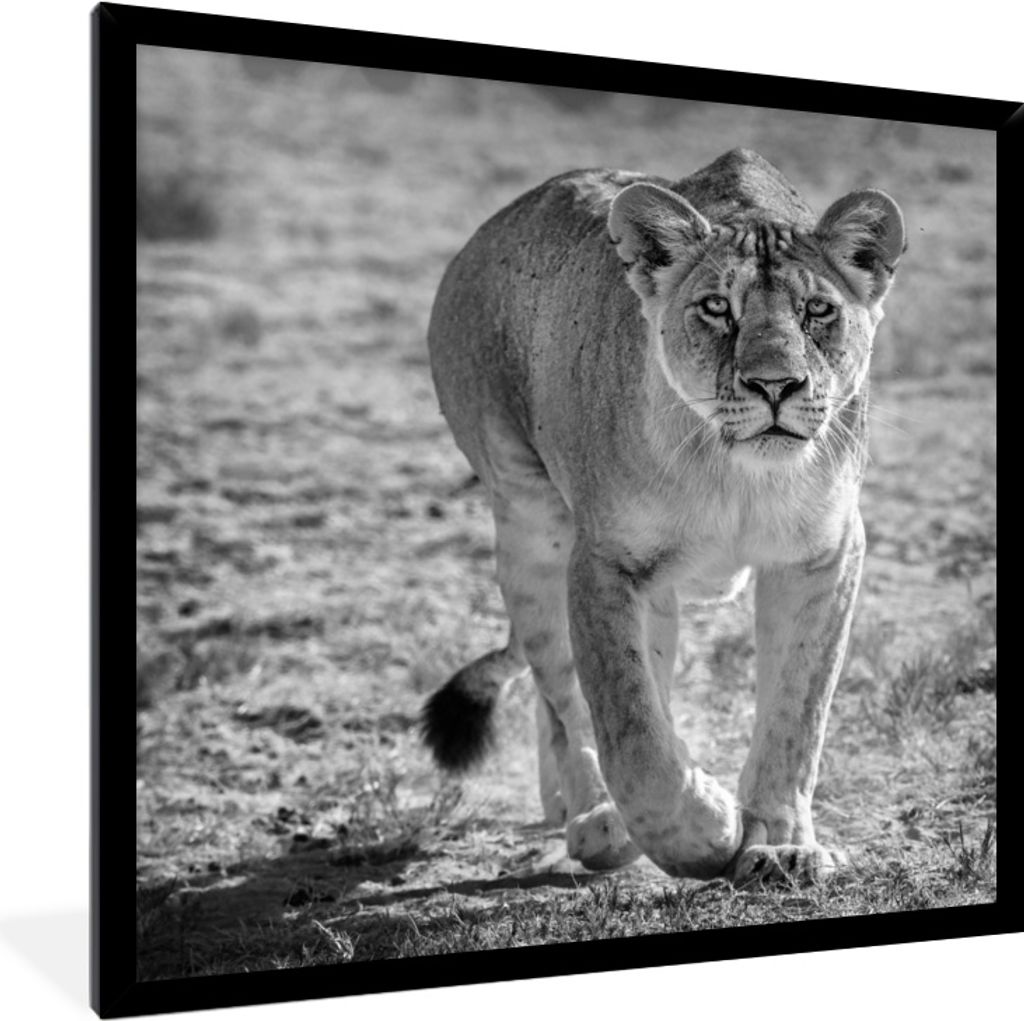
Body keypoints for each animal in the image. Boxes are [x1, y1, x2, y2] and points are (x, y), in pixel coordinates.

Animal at [421, 148, 904, 883]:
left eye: (818, 309)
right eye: (717, 308)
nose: (775, 385)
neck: (737, 473)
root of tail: (490, 228)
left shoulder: (822, 555)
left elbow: (797, 712)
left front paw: (781, 846)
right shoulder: (606, 562)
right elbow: (630, 730)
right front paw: (706, 828)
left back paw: (565, 803)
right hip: (531, 526)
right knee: (565, 697)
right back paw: (594, 817)